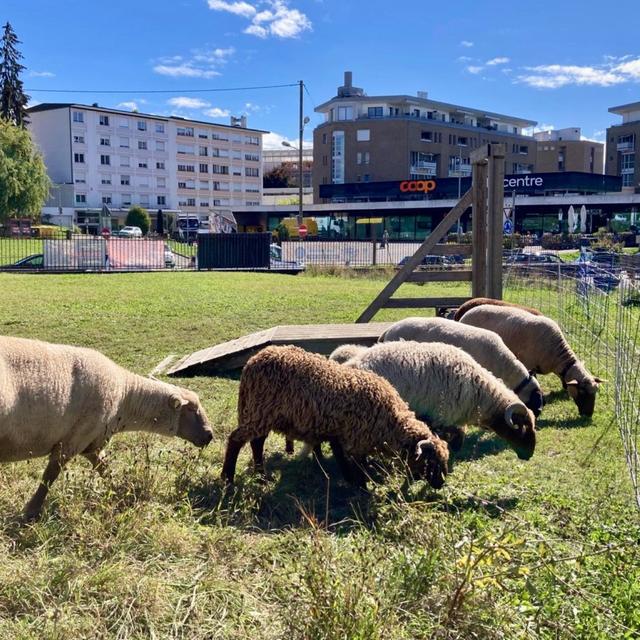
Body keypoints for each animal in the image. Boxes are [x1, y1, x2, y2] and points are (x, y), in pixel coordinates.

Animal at [0, 336, 215, 520]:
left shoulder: (91, 442)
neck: (126, 398)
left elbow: (104, 469)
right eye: (193, 409)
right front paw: (30, 511)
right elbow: (49, 477)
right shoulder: (73, 440)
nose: (209, 435)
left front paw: (121, 492)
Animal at [221, 348, 450, 488]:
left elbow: (340, 456)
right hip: (259, 410)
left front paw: (348, 478)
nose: (440, 484)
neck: (390, 421)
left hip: (264, 414)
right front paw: (360, 485)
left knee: (257, 442)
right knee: (236, 440)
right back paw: (228, 478)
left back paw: (261, 475)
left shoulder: (337, 431)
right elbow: (357, 463)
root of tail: (252, 362)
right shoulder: (357, 438)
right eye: (430, 462)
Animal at [344, 340, 536, 460]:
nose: (529, 455)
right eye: (522, 427)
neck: (480, 394)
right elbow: (455, 435)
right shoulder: (442, 415)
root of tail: (351, 365)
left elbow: (459, 434)